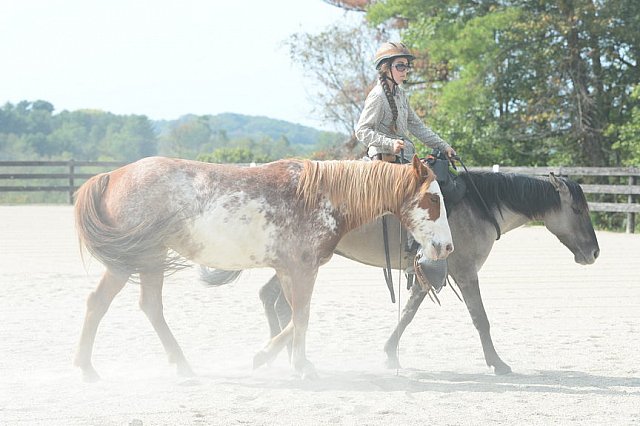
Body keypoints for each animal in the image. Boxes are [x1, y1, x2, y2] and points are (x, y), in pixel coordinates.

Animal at [72, 155, 452, 382]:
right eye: (433, 198)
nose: (446, 247)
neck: (319, 196)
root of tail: (113, 174)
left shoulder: (288, 270)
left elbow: (295, 316)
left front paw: (274, 357)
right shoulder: (302, 269)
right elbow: (301, 316)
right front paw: (296, 364)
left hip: (144, 261)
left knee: (129, 305)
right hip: (139, 259)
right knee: (108, 304)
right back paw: (91, 368)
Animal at [204, 171, 600, 374]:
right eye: (578, 210)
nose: (594, 253)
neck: (478, 205)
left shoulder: (429, 273)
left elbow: (408, 313)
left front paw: (390, 352)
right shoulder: (465, 273)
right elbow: (481, 319)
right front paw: (498, 363)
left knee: (273, 299)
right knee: (281, 302)